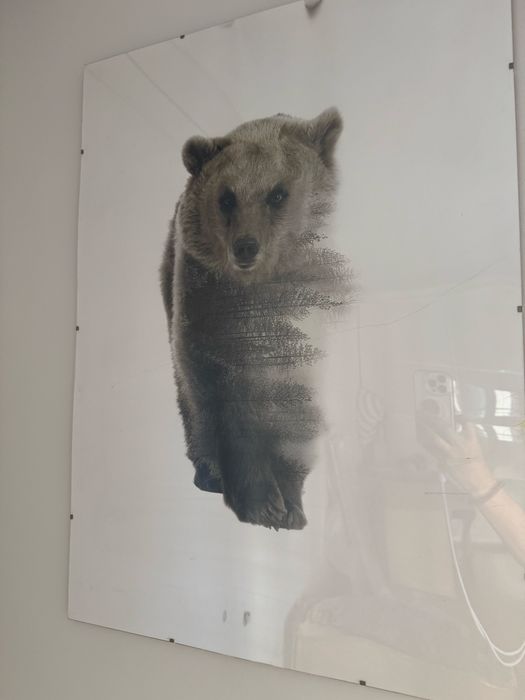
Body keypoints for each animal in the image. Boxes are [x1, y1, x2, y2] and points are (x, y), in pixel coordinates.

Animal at [160, 107, 350, 530]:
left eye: (277, 193)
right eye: (226, 198)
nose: (245, 247)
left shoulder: (308, 330)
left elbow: (296, 412)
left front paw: (291, 505)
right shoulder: (208, 303)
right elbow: (221, 395)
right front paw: (263, 502)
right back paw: (209, 472)